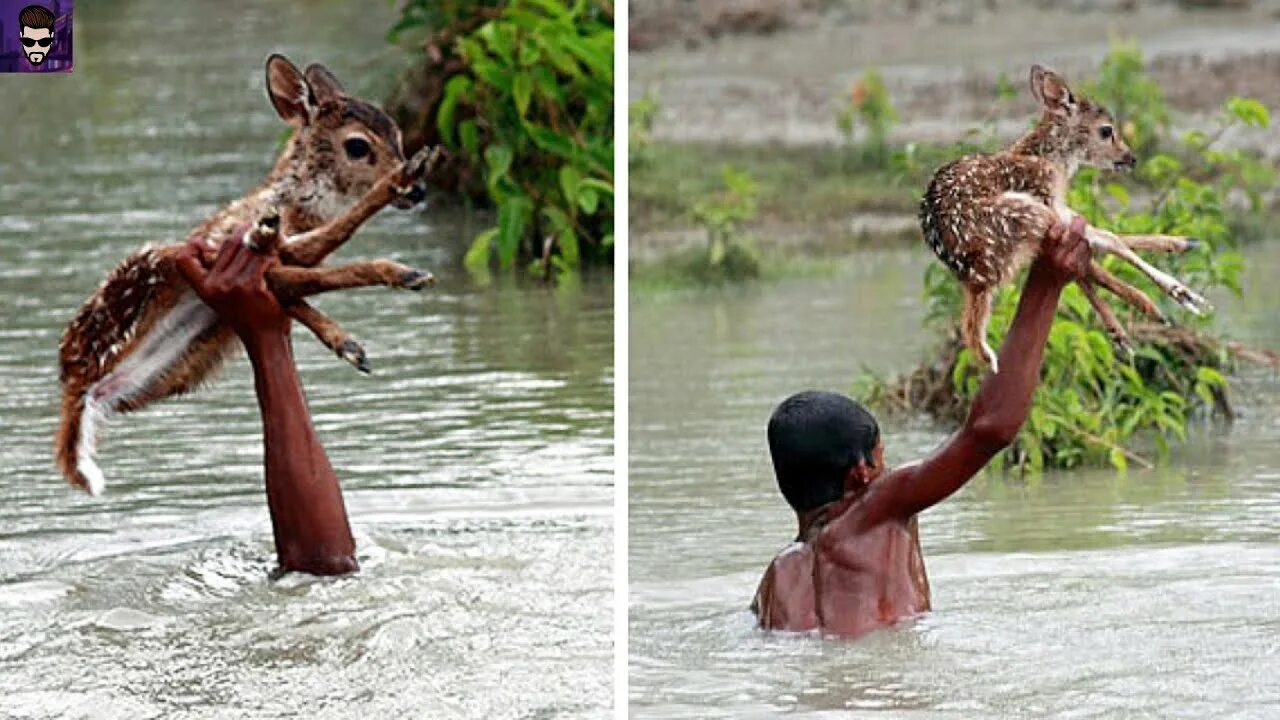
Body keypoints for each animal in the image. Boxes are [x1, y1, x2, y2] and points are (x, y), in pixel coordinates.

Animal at [56, 54, 445, 491]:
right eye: (358, 145)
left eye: (398, 133)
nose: (417, 191)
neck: (296, 206)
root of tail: (77, 385)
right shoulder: (232, 249)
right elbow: (318, 261)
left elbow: (304, 285)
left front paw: (349, 344)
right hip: (151, 267)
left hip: (185, 364)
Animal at [921, 64, 1208, 371]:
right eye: (1106, 130)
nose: (1131, 158)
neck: (1049, 160)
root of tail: (976, 274)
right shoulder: (1045, 196)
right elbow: (1109, 239)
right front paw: (1181, 291)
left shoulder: (1056, 206)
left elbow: (1104, 236)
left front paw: (1181, 248)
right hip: (1023, 213)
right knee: (1090, 254)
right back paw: (1150, 309)